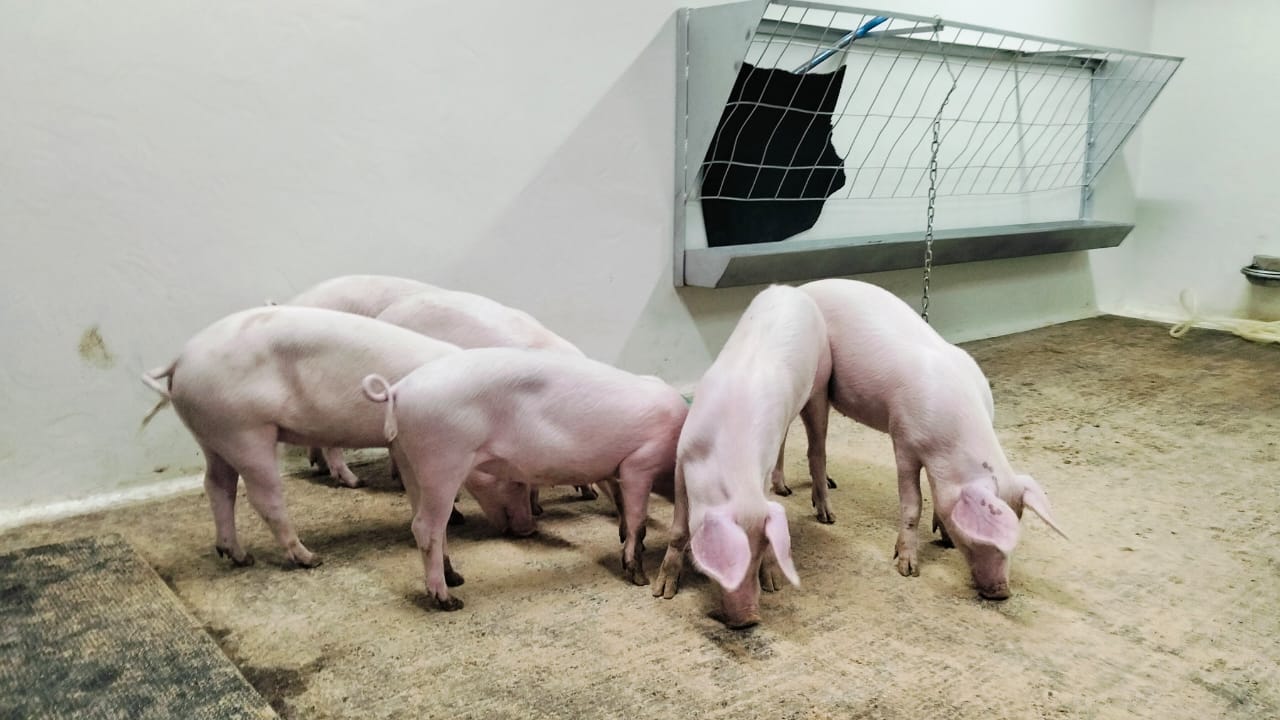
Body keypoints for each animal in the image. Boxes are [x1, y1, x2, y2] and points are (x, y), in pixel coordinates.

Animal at [140, 305, 527, 569]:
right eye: (512, 476)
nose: (526, 529)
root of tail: (180, 360)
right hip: (243, 430)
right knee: (262, 497)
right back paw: (308, 558)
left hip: (211, 435)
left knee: (218, 487)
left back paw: (238, 556)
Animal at [361, 347, 688, 610]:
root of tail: (398, 390)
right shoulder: (639, 463)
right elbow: (637, 521)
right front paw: (639, 578)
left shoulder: (615, 470)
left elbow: (622, 508)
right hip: (442, 460)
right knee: (425, 527)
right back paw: (450, 601)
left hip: (408, 461)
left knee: (431, 524)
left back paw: (455, 578)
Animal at [651, 285, 831, 628]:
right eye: (725, 559)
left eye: (760, 553)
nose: (750, 618)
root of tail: (791, 289)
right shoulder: (681, 461)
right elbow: (678, 530)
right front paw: (661, 592)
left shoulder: (759, 478)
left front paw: (773, 584)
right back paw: (785, 489)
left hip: (820, 384)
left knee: (817, 448)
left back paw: (826, 515)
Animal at [798, 279, 1066, 599]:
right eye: (986, 532)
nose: (1002, 591)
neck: (945, 443)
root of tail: (800, 289)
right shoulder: (902, 440)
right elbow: (913, 503)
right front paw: (907, 569)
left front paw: (945, 539)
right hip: (817, 388)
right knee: (815, 449)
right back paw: (826, 514)